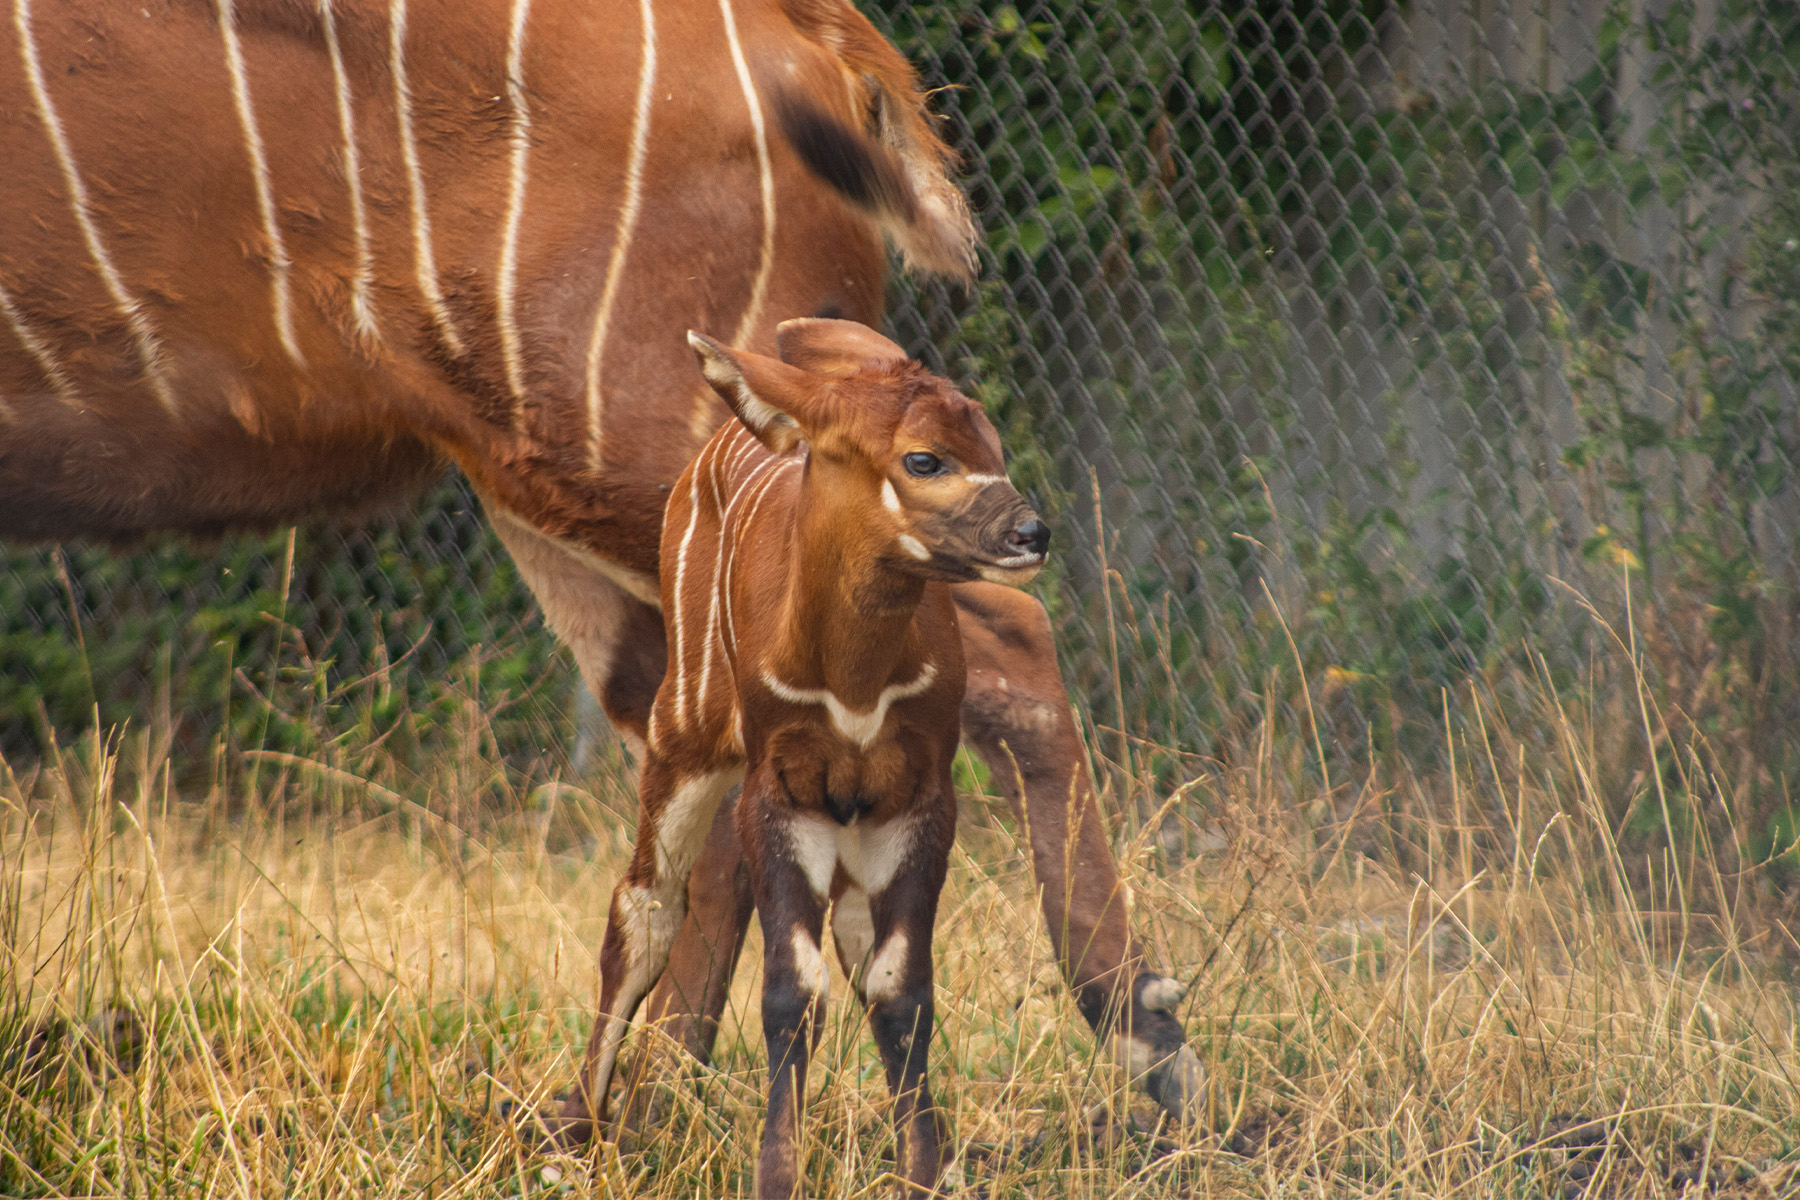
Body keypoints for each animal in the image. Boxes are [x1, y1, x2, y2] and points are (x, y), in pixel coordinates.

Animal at [568, 316, 1051, 1194]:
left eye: (992, 442)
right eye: (924, 458)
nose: (1030, 533)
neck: (852, 681)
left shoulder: (917, 799)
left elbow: (901, 991)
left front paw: (924, 1173)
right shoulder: (778, 794)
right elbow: (792, 992)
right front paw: (777, 1175)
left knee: (854, 944)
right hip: (684, 736)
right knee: (643, 908)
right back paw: (582, 1132)